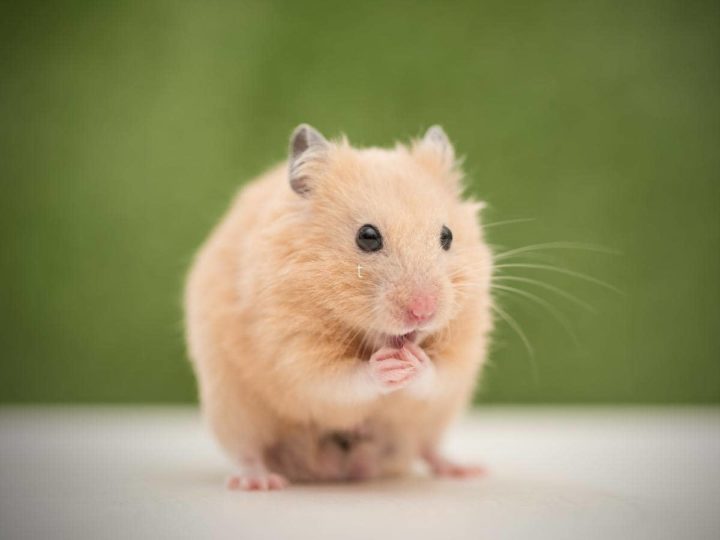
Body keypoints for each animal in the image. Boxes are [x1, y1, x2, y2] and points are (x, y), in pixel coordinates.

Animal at [184, 124, 493, 490]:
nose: (424, 311)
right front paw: (388, 366)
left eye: (447, 236)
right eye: (367, 236)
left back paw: (465, 470)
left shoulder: (465, 347)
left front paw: (414, 362)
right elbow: (337, 380)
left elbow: (440, 374)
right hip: (231, 408)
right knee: (247, 450)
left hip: (435, 419)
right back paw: (259, 482)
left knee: (428, 447)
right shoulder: (292, 349)